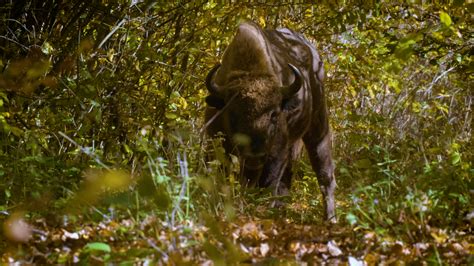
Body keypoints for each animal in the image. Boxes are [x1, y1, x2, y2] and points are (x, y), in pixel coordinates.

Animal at [205, 22, 336, 222]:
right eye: (232, 114)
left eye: (274, 114)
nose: (255, 154)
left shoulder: (276, 151)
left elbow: (267, 183)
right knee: (287, 179)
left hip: (318, 127)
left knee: (324, 174)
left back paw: (330, 218)